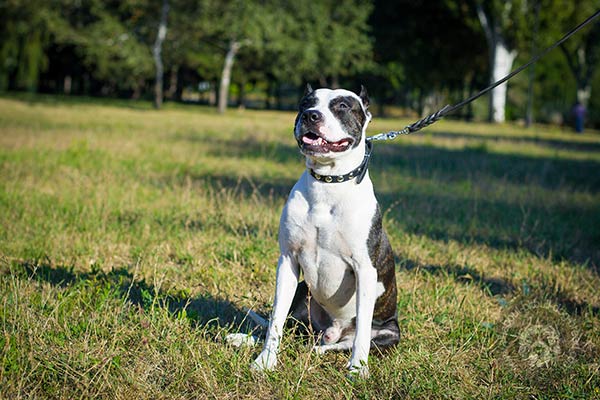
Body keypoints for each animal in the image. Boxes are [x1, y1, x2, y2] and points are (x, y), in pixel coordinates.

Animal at [251, 84, 400, 378]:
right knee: (286, 323)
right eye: (306, 103)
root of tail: (331, 330)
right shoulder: (288, 261)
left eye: (342, 106)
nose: (311, 115)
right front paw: (265, 360)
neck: (328, 182)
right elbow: (275, 319)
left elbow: (362, 330)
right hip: (302, 292)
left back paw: (323, 351)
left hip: (390, 333)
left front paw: (358, 369)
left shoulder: (365, 270)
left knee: (344, 342)